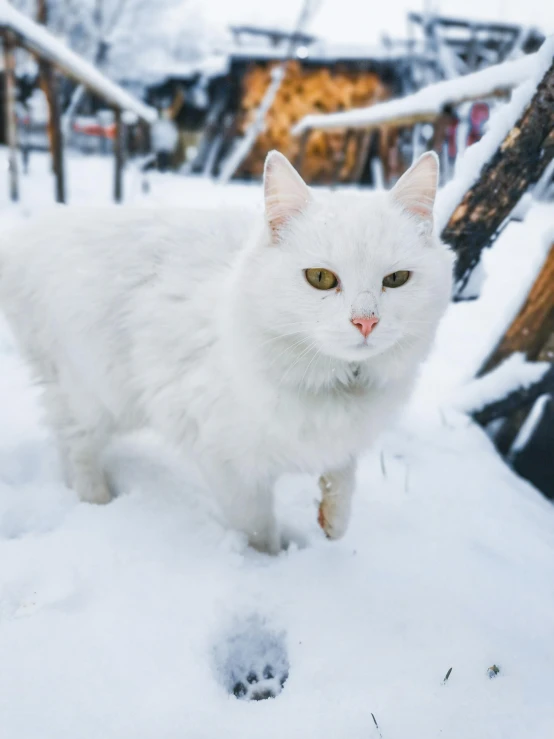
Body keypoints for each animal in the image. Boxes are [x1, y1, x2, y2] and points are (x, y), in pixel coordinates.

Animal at [0, 152, 448, 556]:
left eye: (396, 279)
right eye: (320, 278)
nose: (365, 322)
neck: (338, 380)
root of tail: (30, 234)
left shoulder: (344, 440)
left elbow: (342, 480)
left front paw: (332, 524)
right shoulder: (231, 464)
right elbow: (258, 529)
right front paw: (274, 564)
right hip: (94, 394)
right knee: (75, 445)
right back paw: (97, 500)